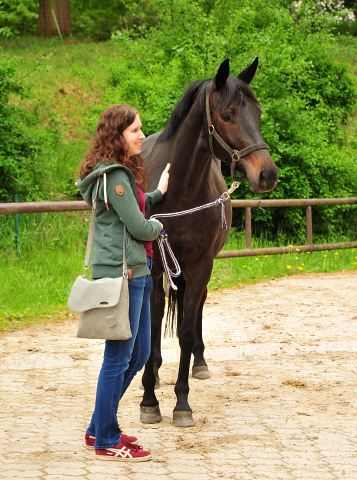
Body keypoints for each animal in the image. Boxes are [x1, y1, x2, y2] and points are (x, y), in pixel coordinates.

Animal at [140, 58, 278, 426]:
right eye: (227, 115)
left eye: (258, 113)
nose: (267, 174)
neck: (181, 189)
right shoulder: (157, 265)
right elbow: (154, 321)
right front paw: (149, 399)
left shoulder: (202, 264)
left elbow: (187, 330)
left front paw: (181, 403)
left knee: (198, 305)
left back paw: (198, 364)